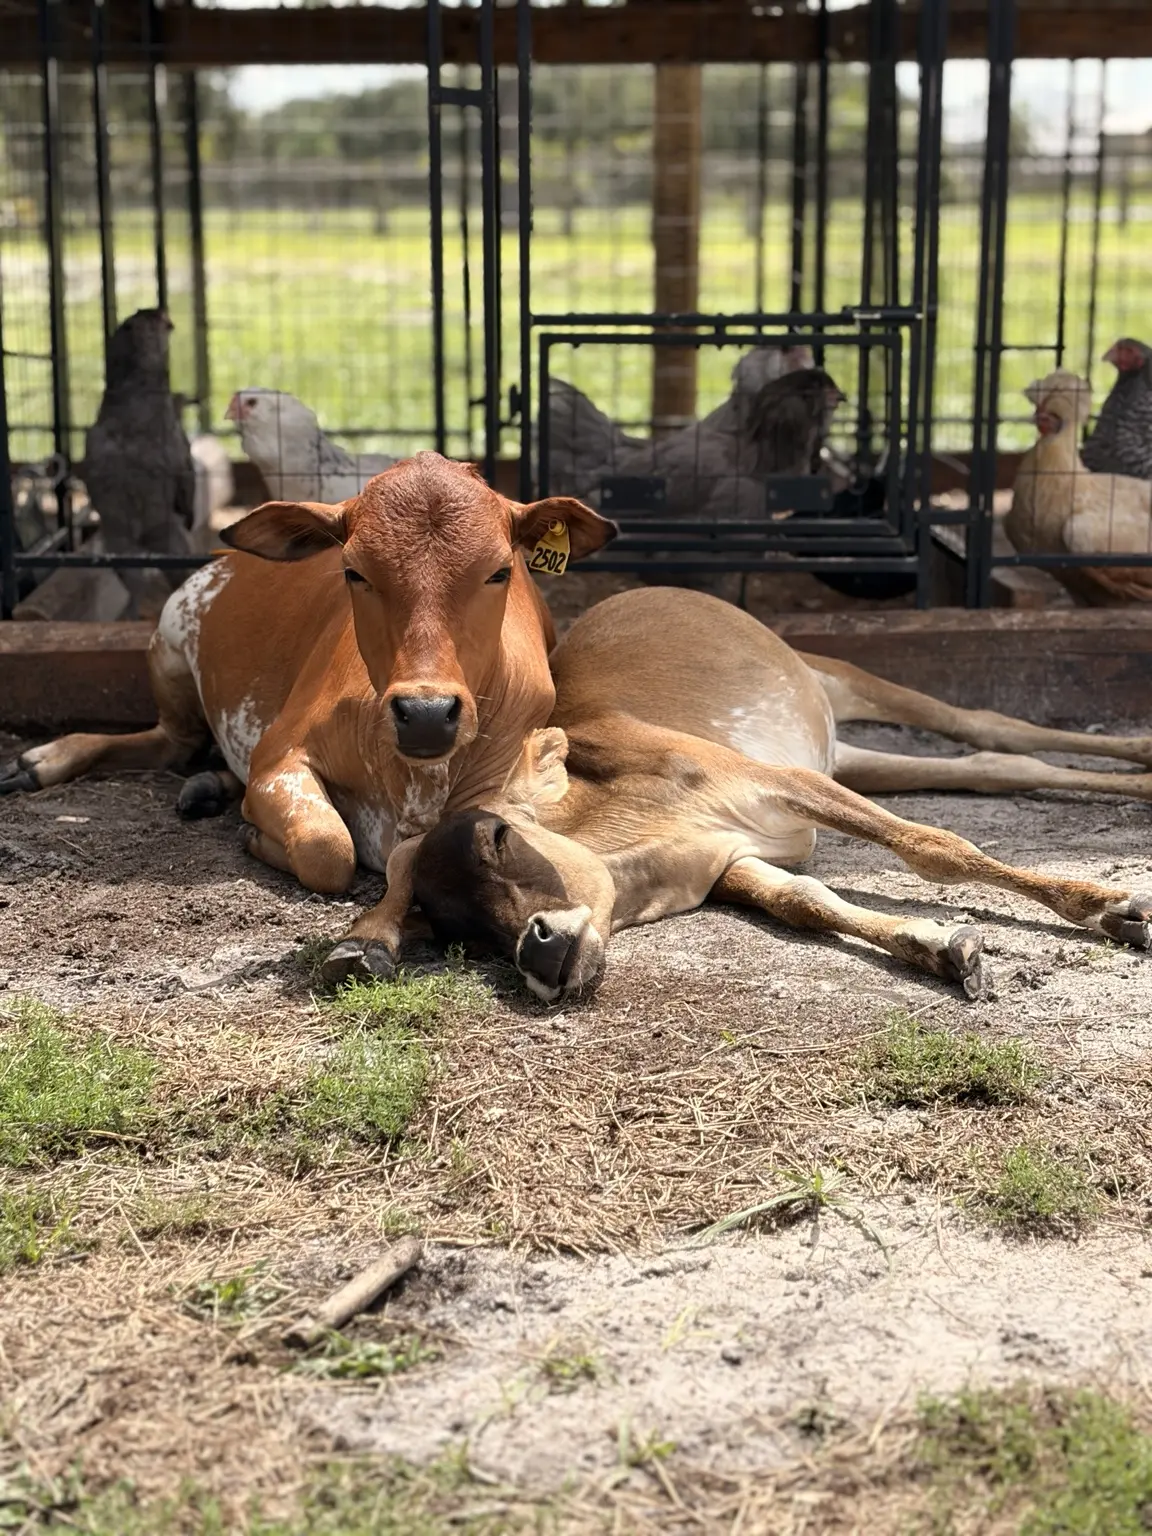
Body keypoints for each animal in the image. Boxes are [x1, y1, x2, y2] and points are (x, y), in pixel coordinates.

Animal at [0, 453, 615, 983]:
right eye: (354, 572)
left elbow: (411, 856)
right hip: (169, 647)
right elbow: (328, 850)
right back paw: (41, 761)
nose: (425, 714)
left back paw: (207, 786)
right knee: (169, 742)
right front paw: (259, 838)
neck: (413, 781)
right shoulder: (279, 753)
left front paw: (370, 935)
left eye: (499, 572)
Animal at [411, 587, 1152, 1001]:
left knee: (988, 723)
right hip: (850, 757)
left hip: (839, 677)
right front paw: (942, 947)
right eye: (455, 928)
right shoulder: (734, 857)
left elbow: (932, 846)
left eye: (498, 837)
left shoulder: (774, 780)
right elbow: (805, 901)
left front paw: (1112, 905)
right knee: (994, 761)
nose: (535, 948)